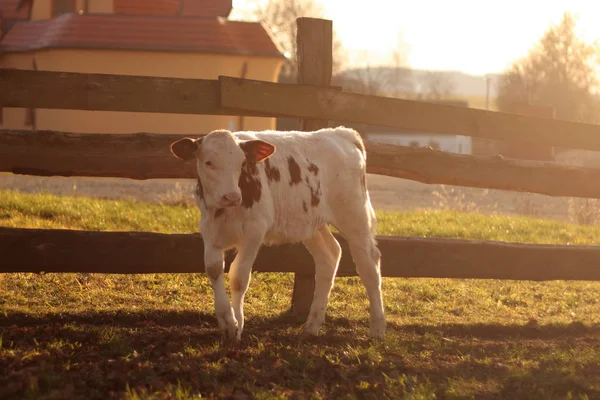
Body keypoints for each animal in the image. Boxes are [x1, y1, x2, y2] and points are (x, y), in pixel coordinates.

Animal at [170, 126, 384, 342]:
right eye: (208, 162)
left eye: (242, 163)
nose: (232, 196)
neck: (224, 211)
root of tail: (340, 133)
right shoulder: (209, 231)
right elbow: (213, 270)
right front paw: (227, 323)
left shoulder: (254, 232)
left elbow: (239, 277)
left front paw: (238, 325)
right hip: (311, 224)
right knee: (330, 256)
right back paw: (312, 326)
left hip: (353, 215)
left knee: (369, 264)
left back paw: (377, 328)